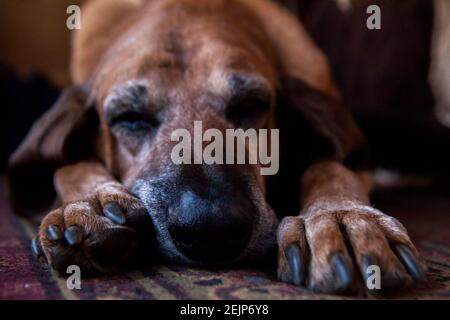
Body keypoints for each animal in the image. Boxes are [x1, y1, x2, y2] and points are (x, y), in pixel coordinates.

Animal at [8, 0, 428, 296]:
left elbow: (331, 166)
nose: (210, 228)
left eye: (250, 106)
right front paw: (89, 203)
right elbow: (68, 165)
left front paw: (340, 218)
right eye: (130, 117)